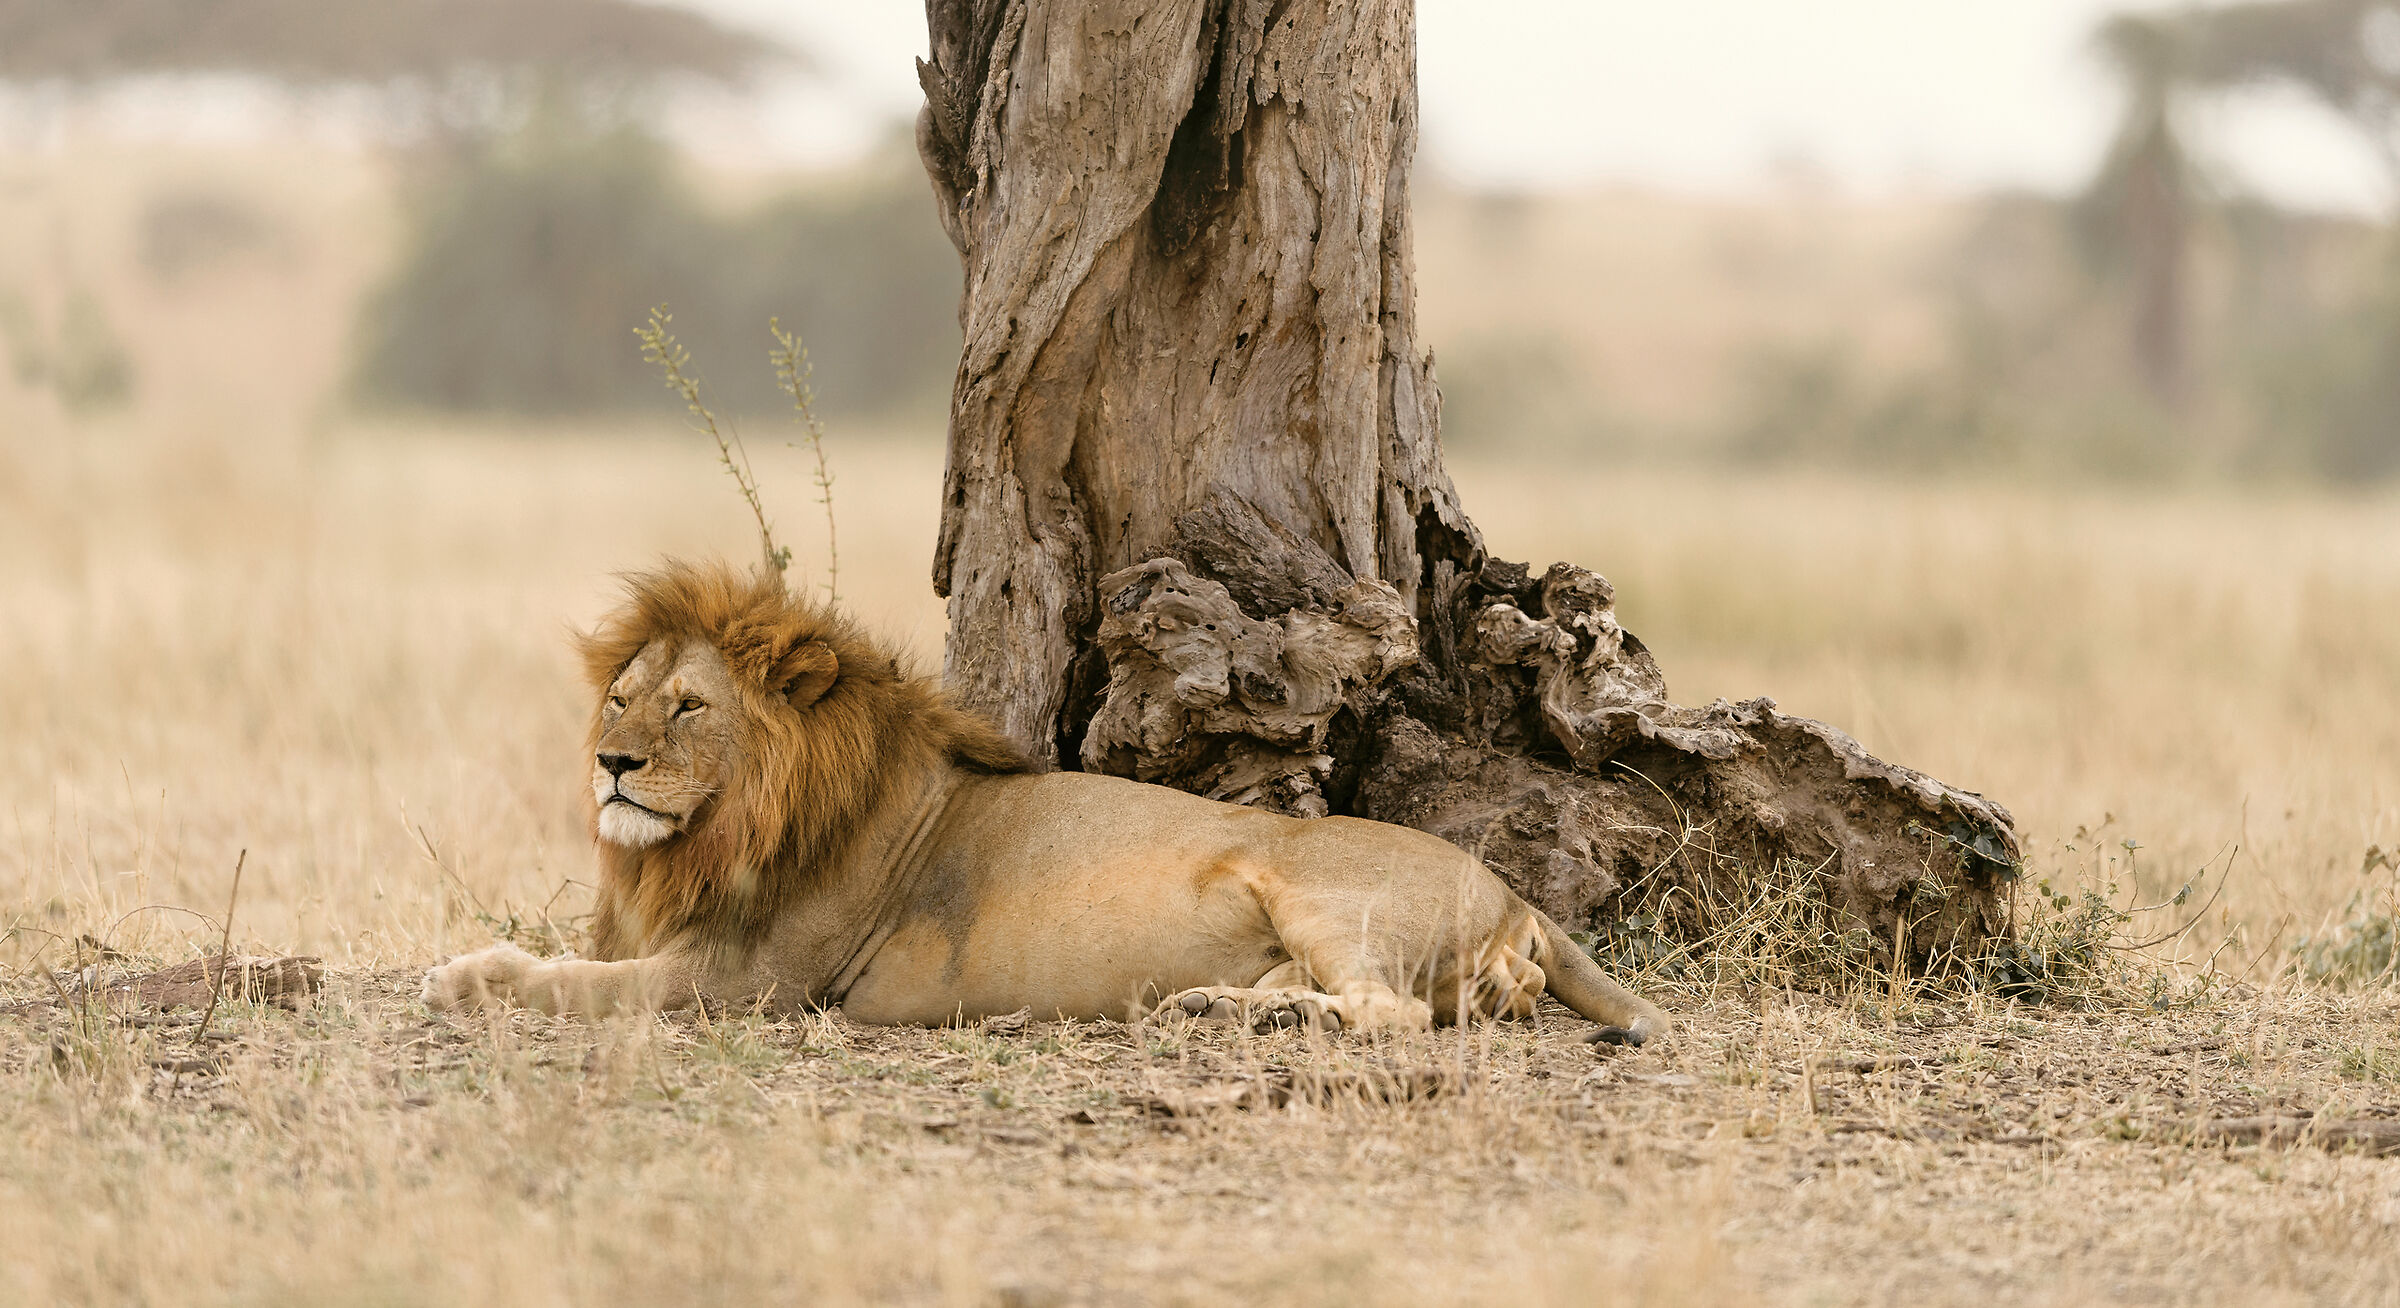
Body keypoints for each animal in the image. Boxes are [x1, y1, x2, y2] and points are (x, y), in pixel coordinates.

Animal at [421, 561, 1665, 1043]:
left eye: (686, 708)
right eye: (618, 696)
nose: (609, 764)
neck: (716, 832)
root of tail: (1519, 899)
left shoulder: (748, 980)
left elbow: (572, 983)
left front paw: (468, 976)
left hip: (1317, 887)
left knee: (1391, 1014)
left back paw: (1250, 1016)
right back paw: (1219, 1007)